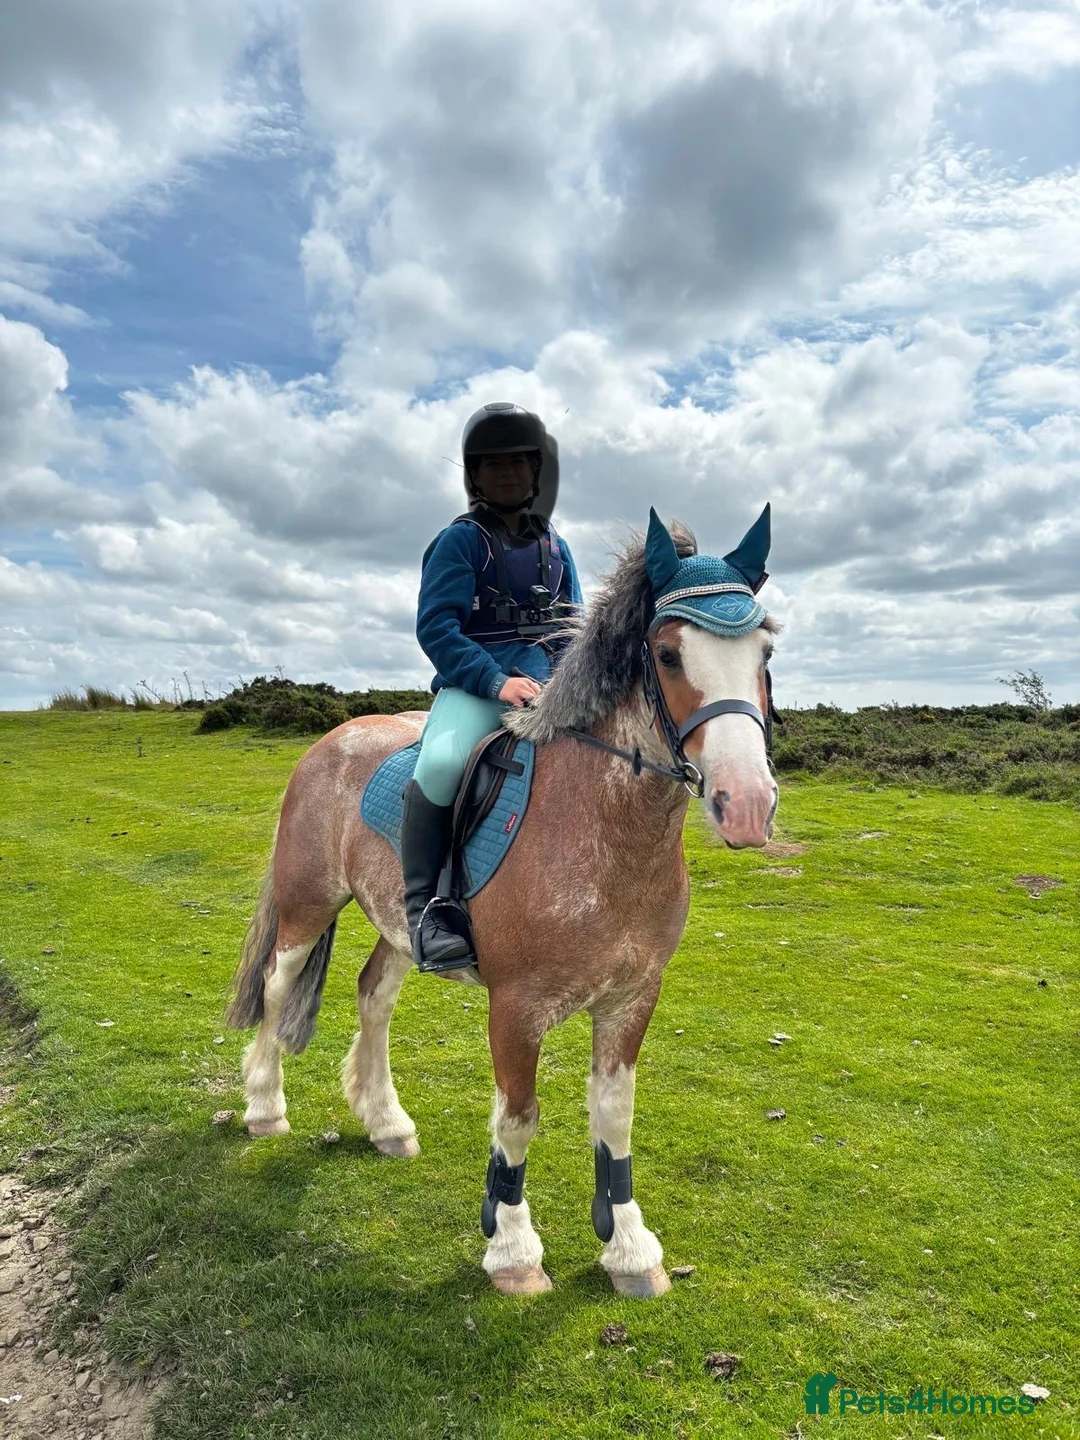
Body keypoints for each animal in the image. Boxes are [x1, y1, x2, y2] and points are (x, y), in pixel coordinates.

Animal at [225, 508, 780, 1299]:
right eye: (669, 654)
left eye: (765, 649)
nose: (747, 804)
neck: (602, 829)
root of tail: (333, 737)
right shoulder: (516, 1008)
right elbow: (517, 1119)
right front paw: (513, 1249)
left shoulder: (632, 999)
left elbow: (615, 1117)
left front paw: (628, 1248)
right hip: (307, 907)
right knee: (276, 987)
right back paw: (265, 1106)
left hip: (399, 927)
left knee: (373, 994)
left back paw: (385, 1121)